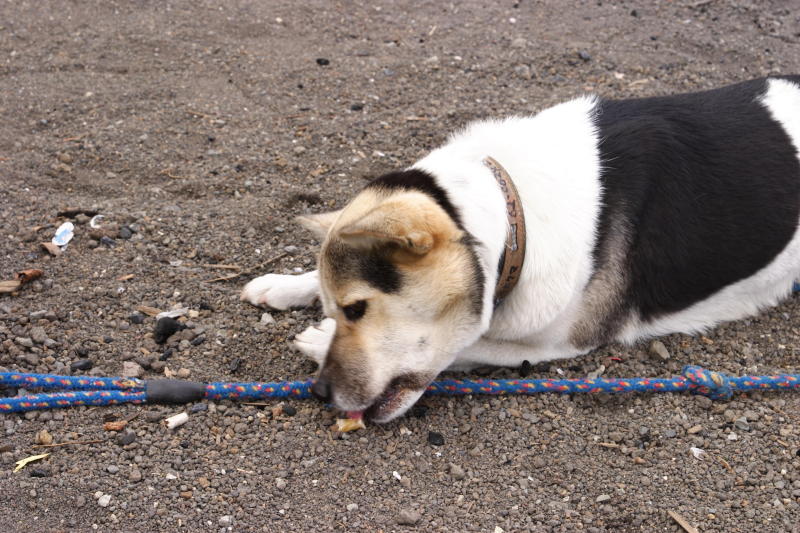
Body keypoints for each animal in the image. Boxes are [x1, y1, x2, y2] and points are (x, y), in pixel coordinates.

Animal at [242, 77, 800, 422]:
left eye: (358, 310)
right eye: (341, 307)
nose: (319, 393)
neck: (514, 217)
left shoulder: (559, 339)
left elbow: (469, 344)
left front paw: (315, 339)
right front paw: (288, 285)